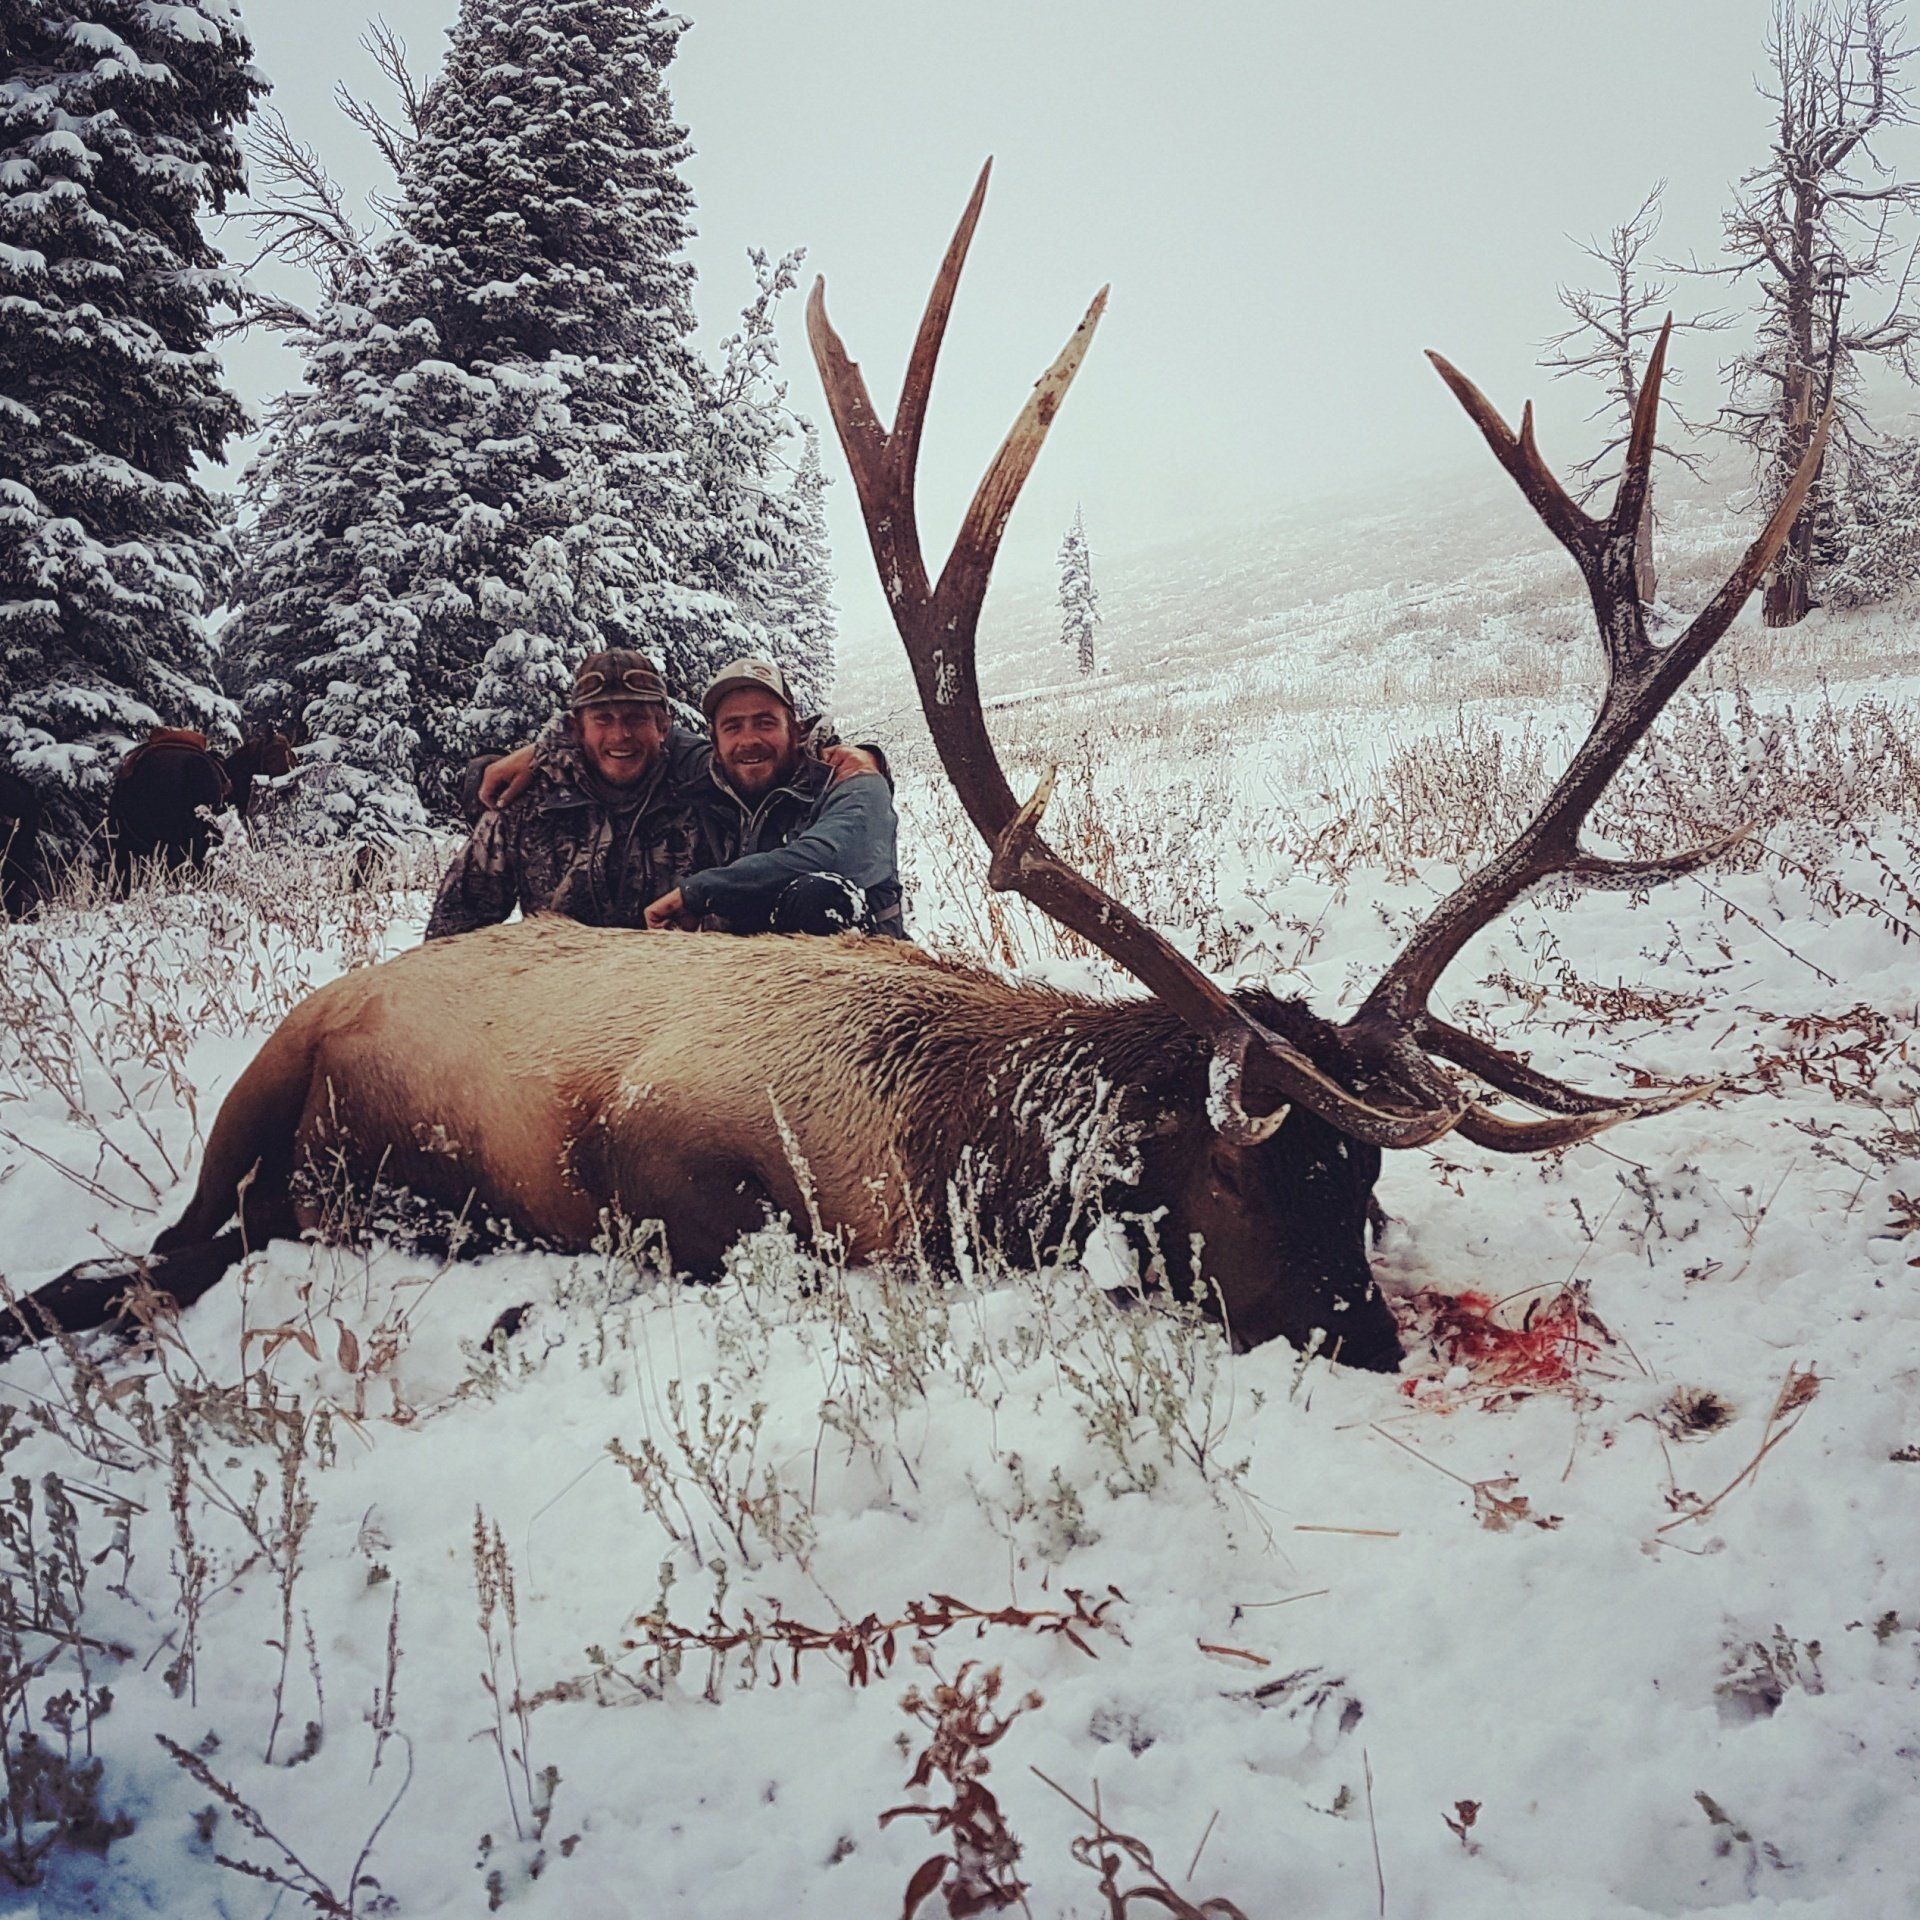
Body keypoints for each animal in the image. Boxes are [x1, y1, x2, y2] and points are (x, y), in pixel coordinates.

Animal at [0, 165, 1827, 1375]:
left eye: (1369, 1184)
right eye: (1259, 1173)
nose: (1370, 1344)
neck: (950, 1151)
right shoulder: (667, 1172)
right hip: (253, 1107)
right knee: (151, 1258)